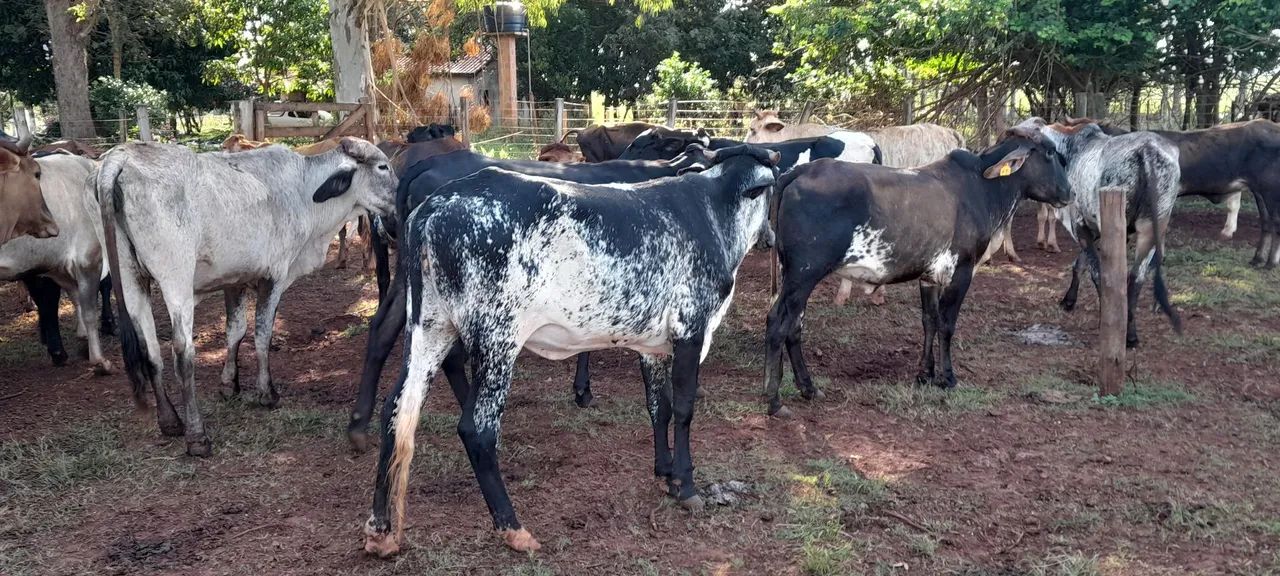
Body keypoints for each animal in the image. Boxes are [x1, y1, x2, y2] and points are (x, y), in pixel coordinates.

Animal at [98, 138, 396, 456]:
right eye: (383, 166)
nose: (400, 196)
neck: (303, 188)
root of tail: (122, 156)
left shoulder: (233, 281)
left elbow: (235, 331)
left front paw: (229, 385)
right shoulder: (273, 277)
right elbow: (262, 334)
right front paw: (266, 392)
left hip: (131, 278)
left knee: (149, 348)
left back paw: (169, 421)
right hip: (175, 279)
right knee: (182, 352)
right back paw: (196, 435)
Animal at [762, 127, 1073, 417]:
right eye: (1049, 153)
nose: (1069, 192)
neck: (982, 187)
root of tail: (800, 171)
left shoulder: (929, 276)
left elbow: (929, 321)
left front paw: (926, 373)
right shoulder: (962, 271)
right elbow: (947, 324)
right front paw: (948, 377)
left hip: (794, 273)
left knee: (795, 326)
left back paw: (808, 388)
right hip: (804, 273)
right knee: (778, 323)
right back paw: (774, 400)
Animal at [1020, 118, 1184, 348]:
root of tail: (1148, 150)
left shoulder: (1081, 225)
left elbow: (1093, 270)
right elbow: (1080, 265)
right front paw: (1069, 300)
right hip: (1154, 227)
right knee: (1136, 277)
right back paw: (1130, 334)